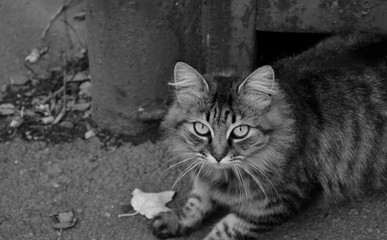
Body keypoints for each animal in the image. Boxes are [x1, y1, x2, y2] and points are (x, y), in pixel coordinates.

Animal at [151, 33, 387, 240]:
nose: (218, 156)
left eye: (240, 131)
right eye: (201, 128)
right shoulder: (204, 174)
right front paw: (174, 220)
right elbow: (196, 202)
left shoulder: (270, 205)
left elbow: (224, 230)